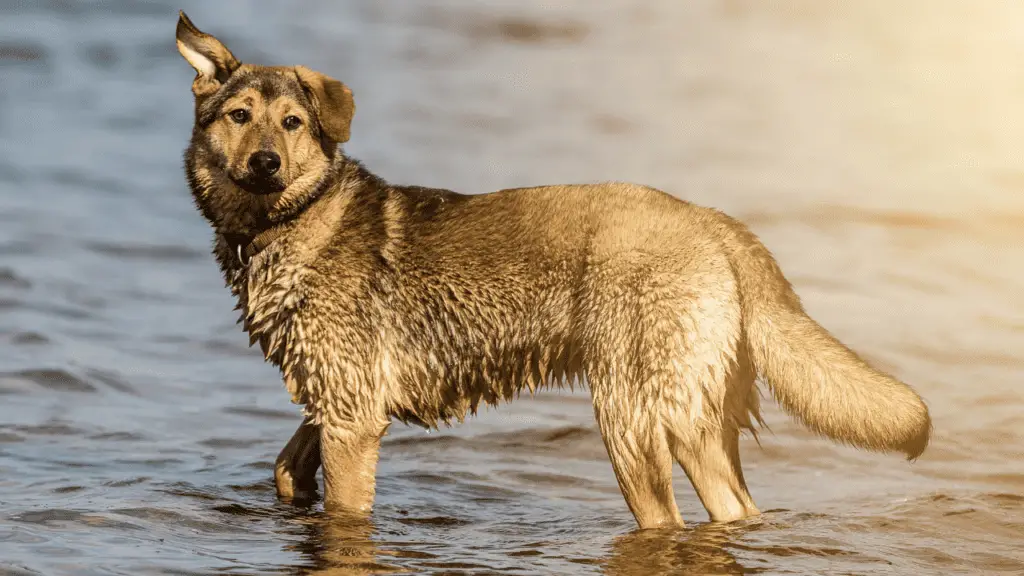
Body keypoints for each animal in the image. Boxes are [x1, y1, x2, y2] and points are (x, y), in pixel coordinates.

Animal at [174, 11, 929, 528]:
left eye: (293, 123)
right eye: (238, 116)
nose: (265, 163)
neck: (288, 222)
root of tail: (714, 222)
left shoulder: (353, 419)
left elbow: (342, 508)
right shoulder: (338, 401)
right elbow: (284, 466)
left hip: (633, 418)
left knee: (669, 519)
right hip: (698, 417)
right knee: (736, 513)